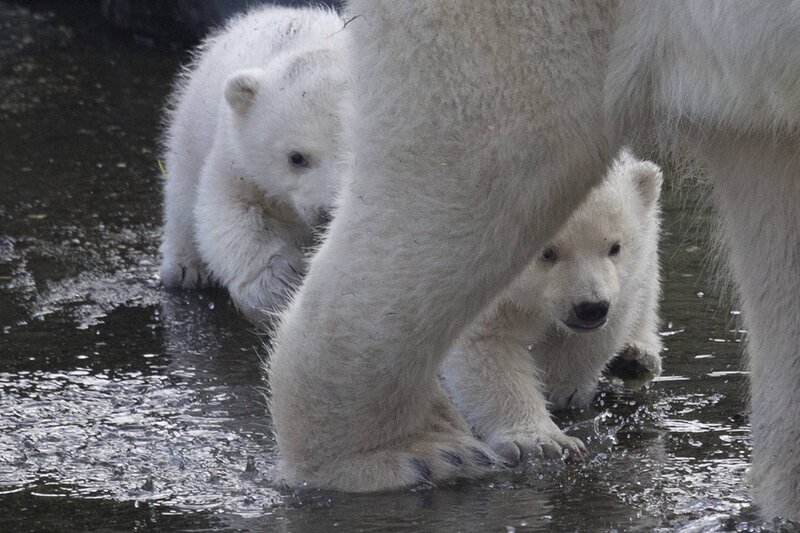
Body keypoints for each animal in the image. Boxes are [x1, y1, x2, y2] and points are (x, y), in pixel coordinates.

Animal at [158, 5, 348, 323]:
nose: (327, 212)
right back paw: (184, 268)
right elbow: (230, 209)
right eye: (296, 157)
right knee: (183, 190)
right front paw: (279, 283)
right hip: (193, 120)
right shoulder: (236, 153)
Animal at [441, 151, 663, 465]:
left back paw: (636, 358)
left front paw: (562, 387)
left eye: (615, 247)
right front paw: (543, 441)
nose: (591, 308)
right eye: (546, 253)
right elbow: (486, 346)